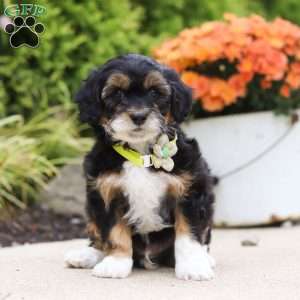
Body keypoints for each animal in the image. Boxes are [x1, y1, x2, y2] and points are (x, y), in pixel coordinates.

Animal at [65, 54, 216, 282]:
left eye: (154, 92)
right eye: (117, 93)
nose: (138, 116)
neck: (140, 153)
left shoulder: (191, 189)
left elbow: (188, 233)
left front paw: (193, 267)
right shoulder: (106, 192)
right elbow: (114, 231)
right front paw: (116, 263)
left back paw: (206, 259)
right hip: (91, 210)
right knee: (97, 235)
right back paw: (86, 255)